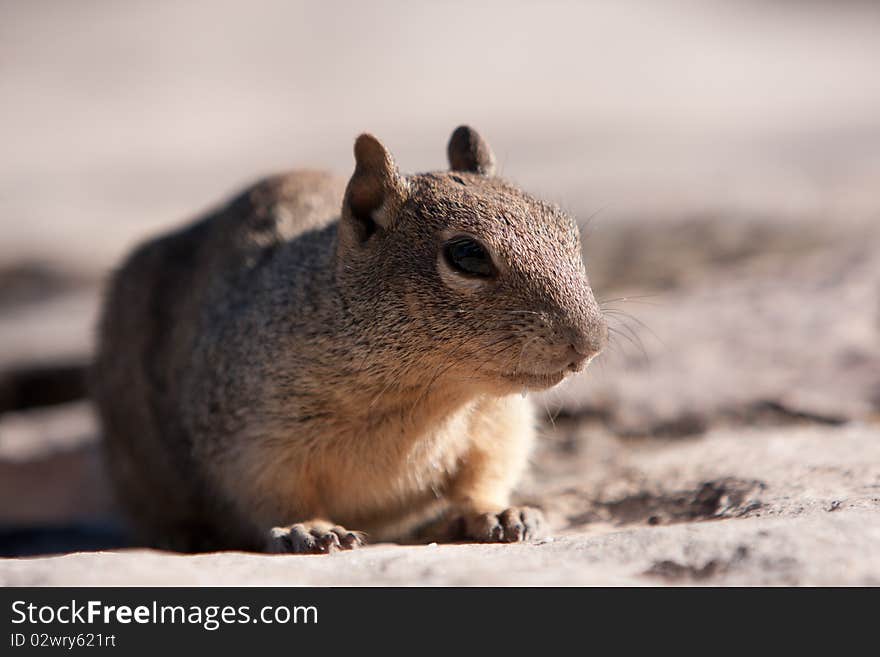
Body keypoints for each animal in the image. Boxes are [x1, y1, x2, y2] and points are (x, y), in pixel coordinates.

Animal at [93, 125, 608, 552]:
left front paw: (499, 513)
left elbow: (482, 476)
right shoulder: (252, 441)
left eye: (568, 228)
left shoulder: (497, 425)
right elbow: (275, 495)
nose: (590, 341)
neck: (427, 396)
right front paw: (310, 528)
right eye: (466, 255)